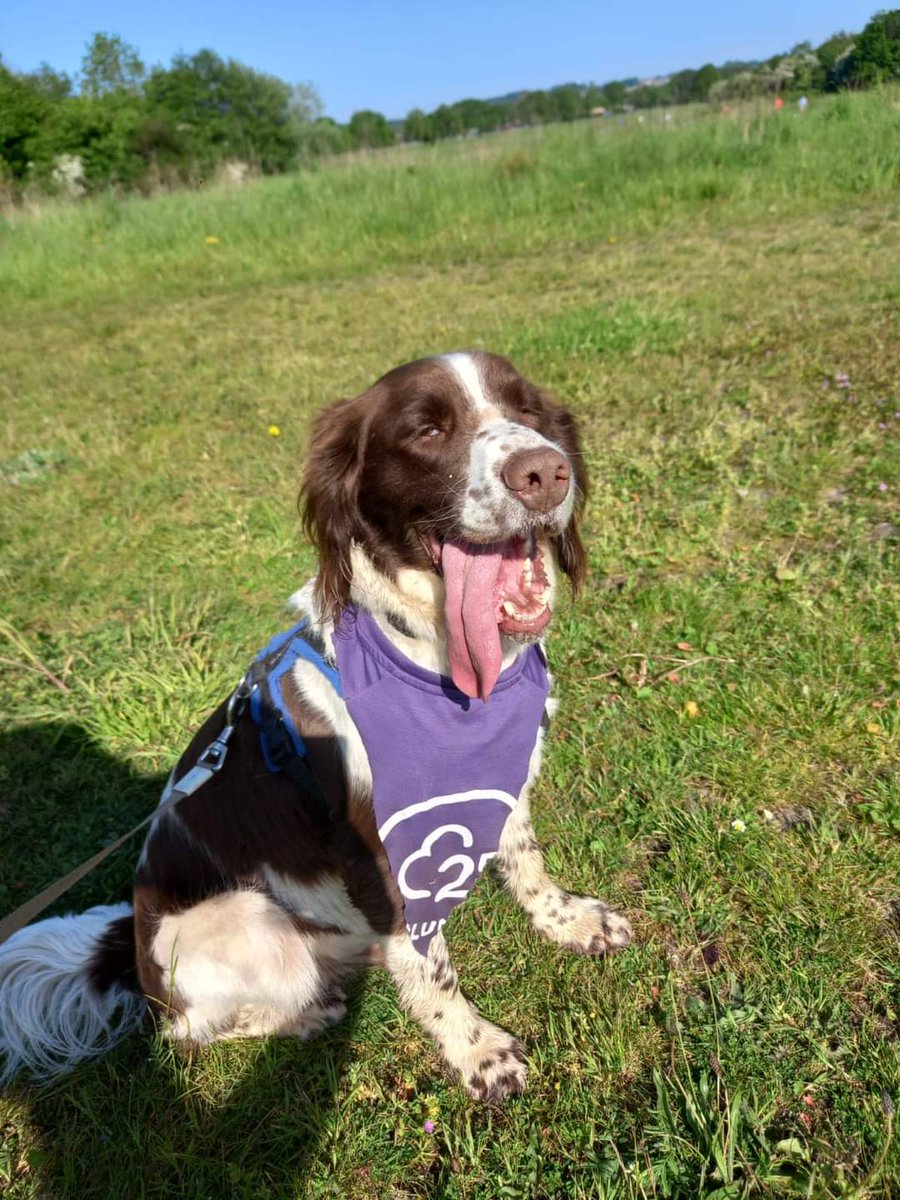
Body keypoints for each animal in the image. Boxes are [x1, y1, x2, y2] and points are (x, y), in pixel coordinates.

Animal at [0, 350, 633, 1099]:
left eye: (527, 410)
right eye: (426, 429)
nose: (544, 472)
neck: (435, 662)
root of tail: (131, 951)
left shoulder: (501, 780)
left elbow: (526, 861)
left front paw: (569, 921)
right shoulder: (384, 853)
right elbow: (433, 967)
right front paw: (476, 1050)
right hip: (244, 923)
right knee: (189, 1030)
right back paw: (311, 1013)